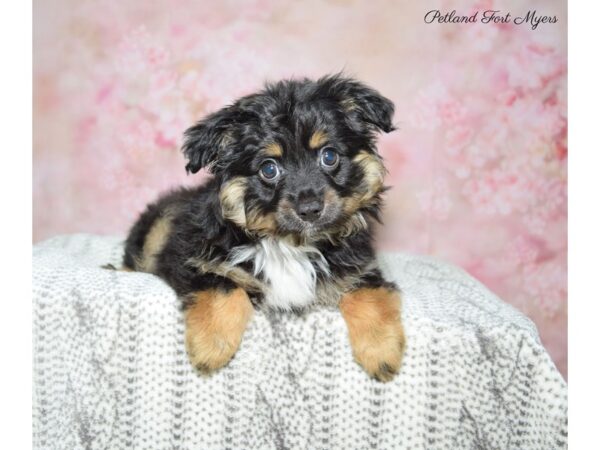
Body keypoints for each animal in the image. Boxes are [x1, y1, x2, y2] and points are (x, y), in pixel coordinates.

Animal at [120, 75, 404, 382]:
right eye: (269, 169)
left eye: (329, 156)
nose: (310, 209)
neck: (291, 243)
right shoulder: (188, 257)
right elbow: (224, 288)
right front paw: (211, 348)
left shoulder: (361, 268)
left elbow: (370, 295)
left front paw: (382, 352)